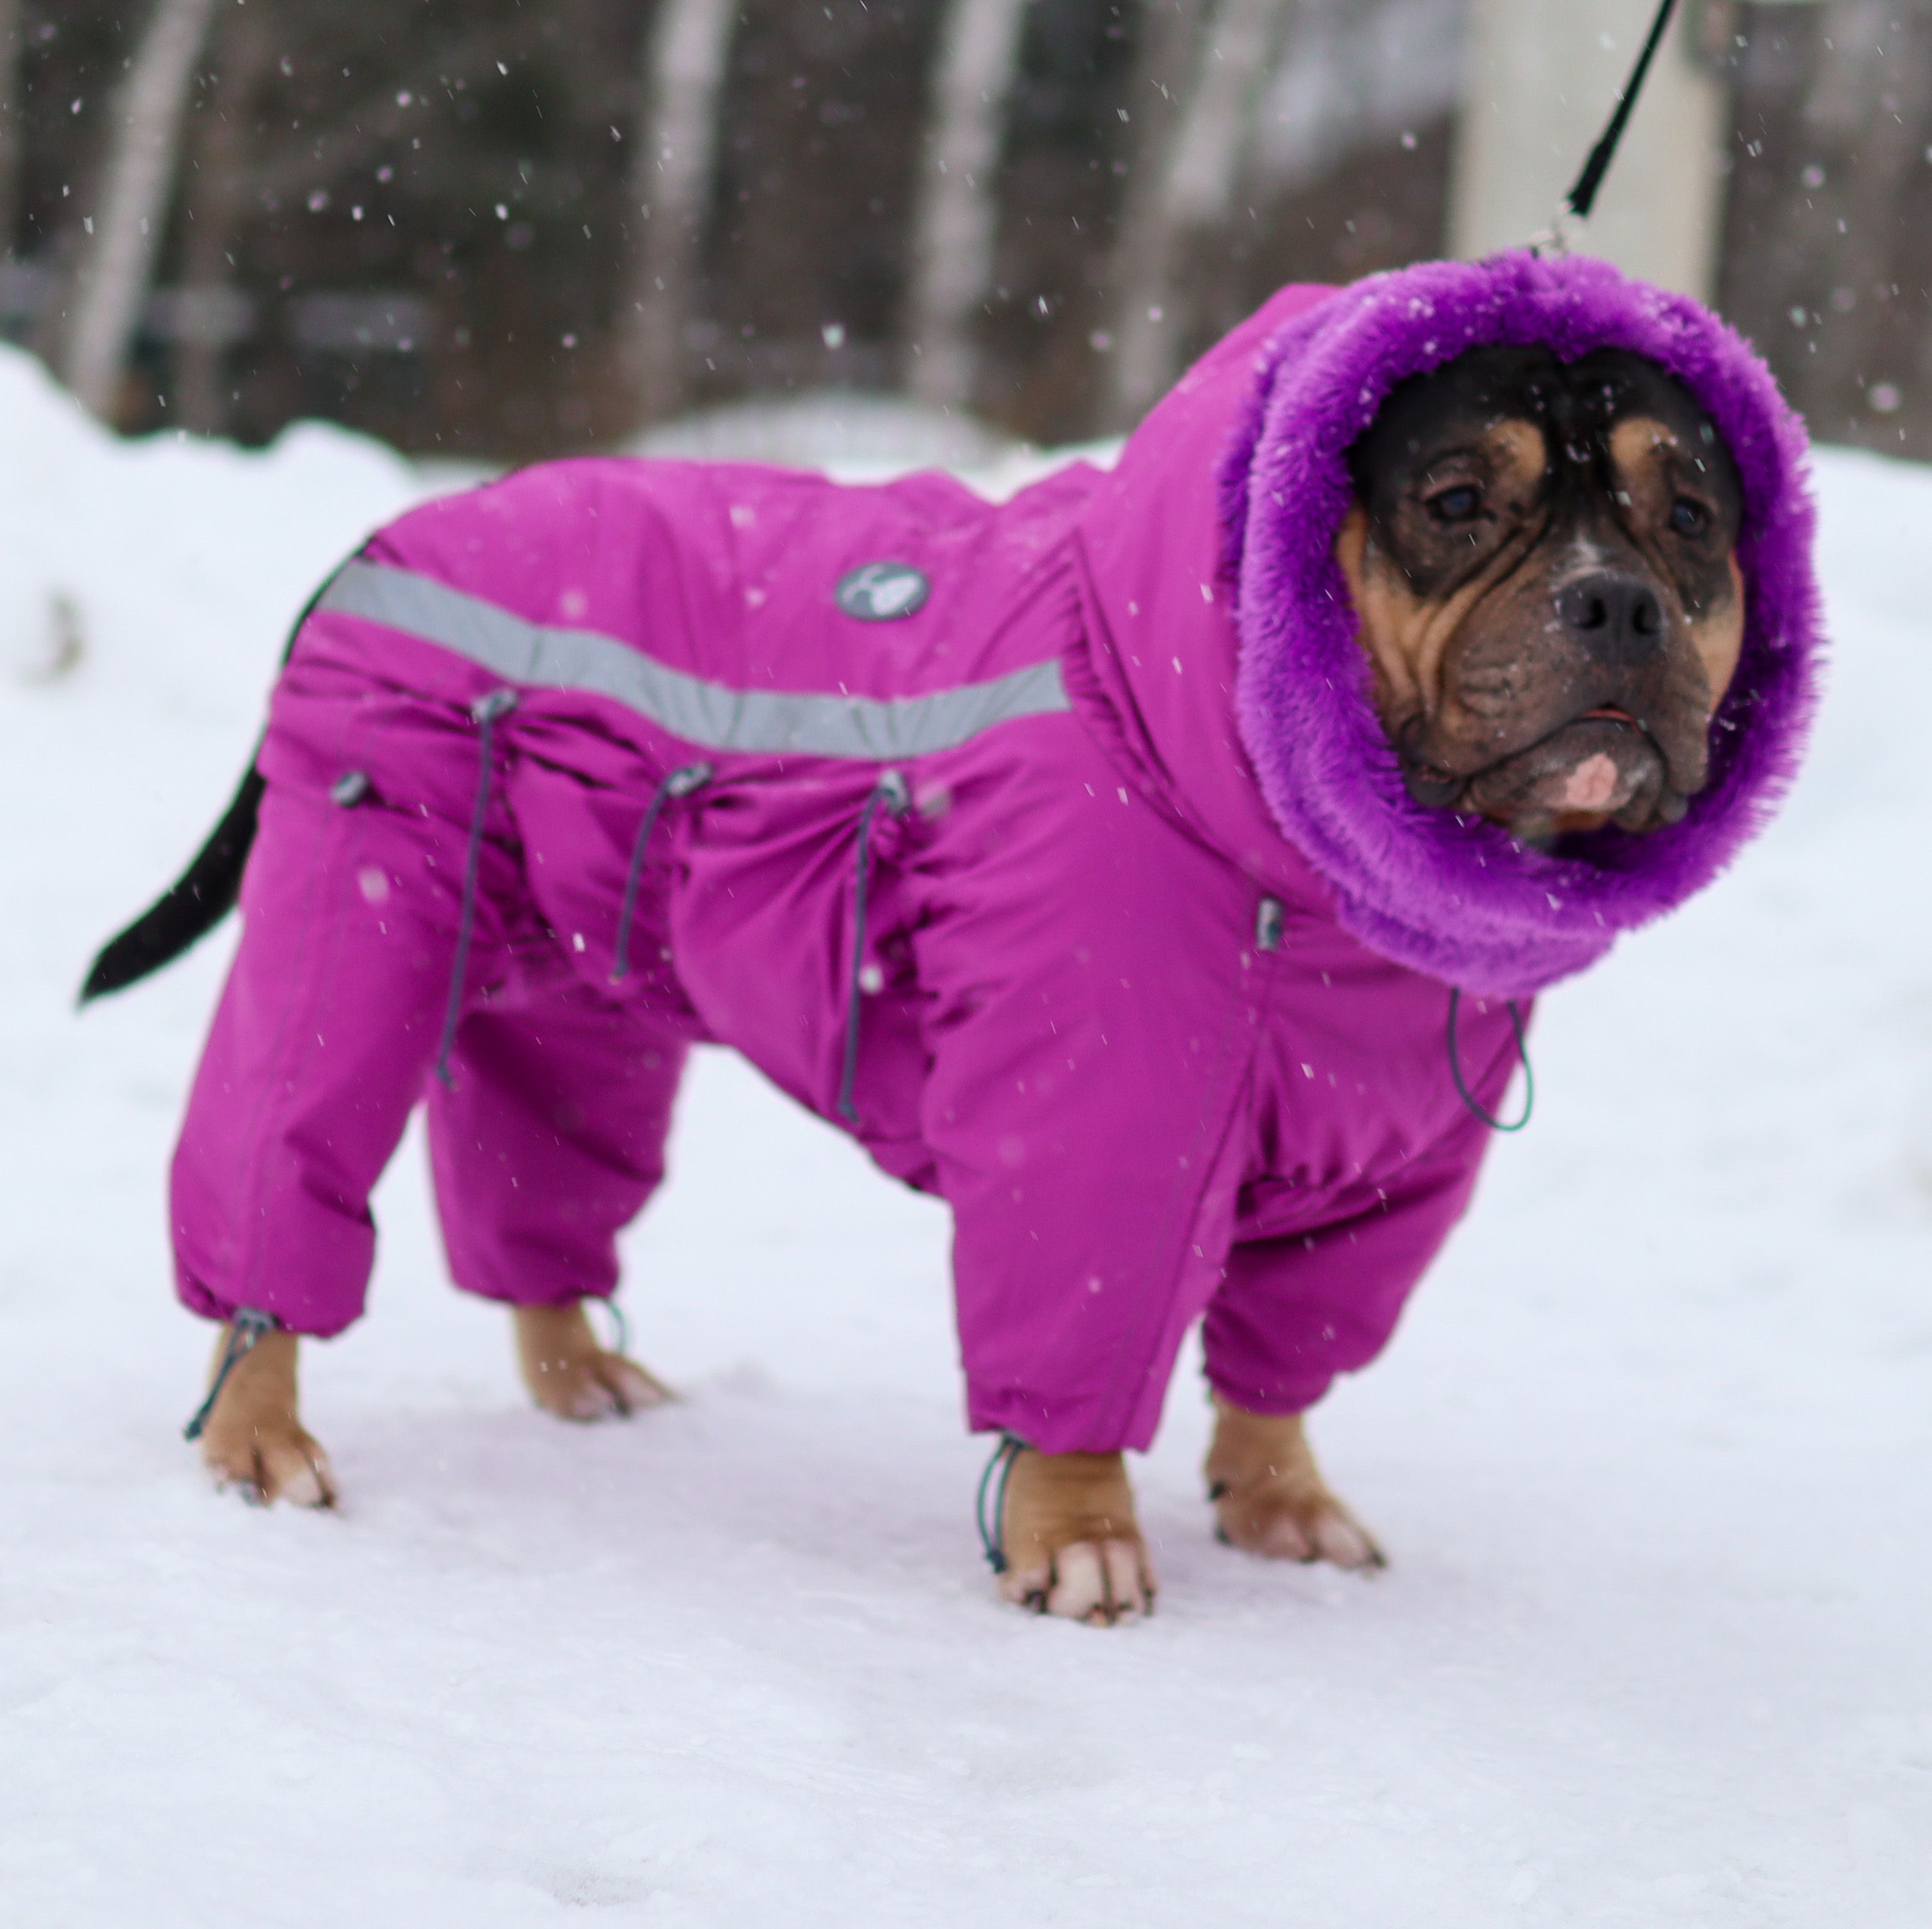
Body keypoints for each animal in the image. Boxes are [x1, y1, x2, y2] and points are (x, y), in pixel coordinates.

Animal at [87, 253, 1808, 1629]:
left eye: (1687, 517)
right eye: (1454, 504)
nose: (1614, 604)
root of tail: (394, 529)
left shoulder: (1391, 1164)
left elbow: (1287, 1342)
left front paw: (1277, 1497)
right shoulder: (1100, 1123)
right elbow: (1080, 1353)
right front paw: (1082, 1543)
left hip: (574, 964)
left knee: (533, 1162)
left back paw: (580, 1372)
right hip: (366, 891)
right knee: (275, 1158)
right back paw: (256, 1432)